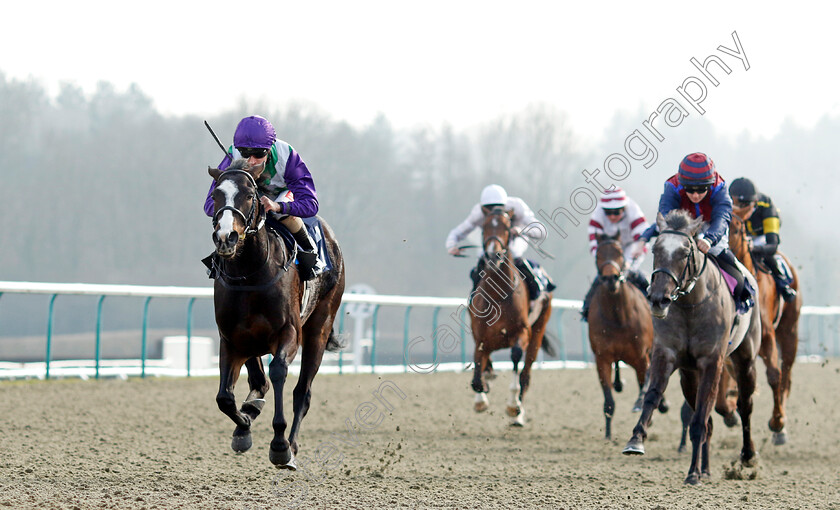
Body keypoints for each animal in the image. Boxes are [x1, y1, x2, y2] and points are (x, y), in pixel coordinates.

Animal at [207, 159, 344, 470]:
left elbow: (279, 372)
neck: (250, 274)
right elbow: (225, 397)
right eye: (216, 195)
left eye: (249, 195)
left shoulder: (288, 333)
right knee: (259, 382)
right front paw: (244, 423)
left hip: (319, 329)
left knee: (302, 392)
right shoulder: (231, 339)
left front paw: (279, 445)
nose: (225, 238)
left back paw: (290, 444)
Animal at [470, 205, 556, 424]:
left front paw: (511, 405)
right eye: (483, 226)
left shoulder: (522, 332)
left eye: (508, 227)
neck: (497, 296)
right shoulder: (480, 336)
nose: (493, 255)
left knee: (526, 374)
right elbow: (477, 372)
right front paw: (481, 398)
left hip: (538, 330)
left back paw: (518, 414)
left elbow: (516, 355)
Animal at [588, 234, 668, 438]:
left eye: (620, 252)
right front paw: (608, 435)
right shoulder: (602, 359)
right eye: (598, 254)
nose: (611, 278)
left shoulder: (641, 357)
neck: (618, 317)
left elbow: (646, 385)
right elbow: (609, 402)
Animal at [620, 211, 764, 486]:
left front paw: (693, 474)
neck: (690, 305)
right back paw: (705, 469)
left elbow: (700, 419)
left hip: (746, 358)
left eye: (685, 252)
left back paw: (747, 456)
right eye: (655, 248)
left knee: (746, 405)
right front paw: (636, 440)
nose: (659, 299)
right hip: (690, 375)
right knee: (708, 419)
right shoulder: (667, 353)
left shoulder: (711, 362)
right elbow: (653, 395)